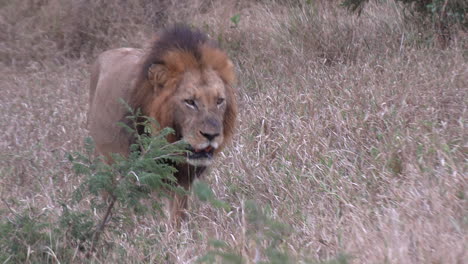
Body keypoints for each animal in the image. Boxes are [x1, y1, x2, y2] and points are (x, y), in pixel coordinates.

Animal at [88, 25, 238, 225]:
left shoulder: (182, 179)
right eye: (190, 102)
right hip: (105, 160)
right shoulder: (139, 173)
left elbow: (178, 215)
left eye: (219, 101)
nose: (211, 135)